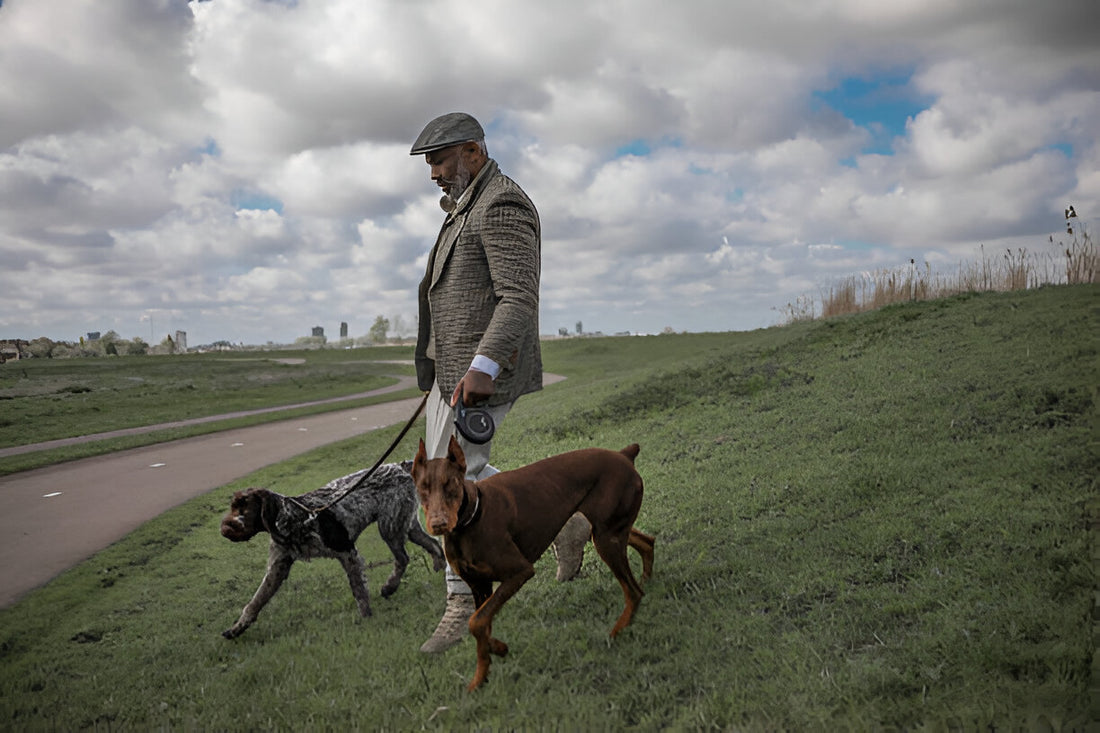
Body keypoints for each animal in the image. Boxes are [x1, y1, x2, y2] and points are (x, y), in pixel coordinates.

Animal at [216, 464, 444, 638]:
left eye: (244, 509)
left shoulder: (347, 552)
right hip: (406, 525)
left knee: (403, 558)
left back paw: (390, 587)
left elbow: (359, 591)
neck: (293, 518)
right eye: (233, 507)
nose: (224, 529)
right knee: (433, 544)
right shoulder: (278, 567)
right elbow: (256, 601)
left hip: (390, 527)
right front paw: (237, 628)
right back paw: (439, 568)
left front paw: (366, 619)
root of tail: (400, 466)